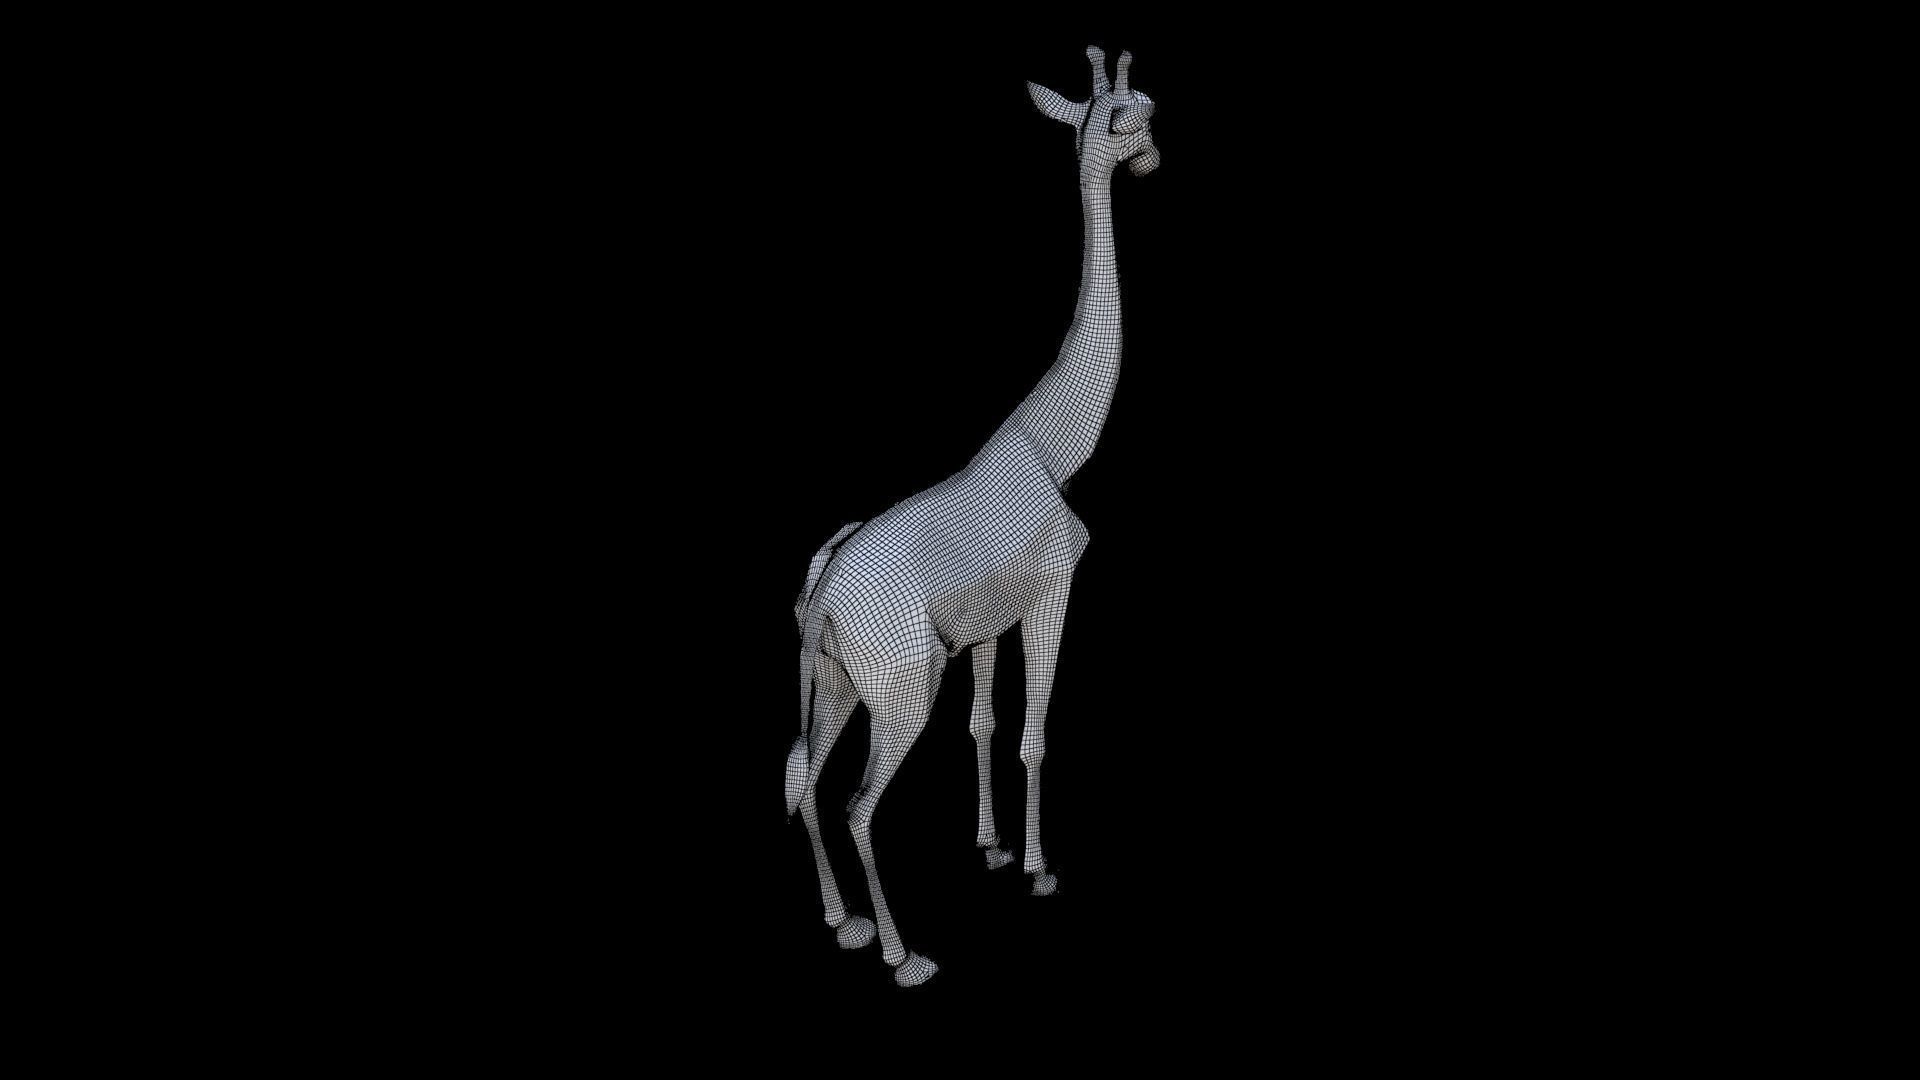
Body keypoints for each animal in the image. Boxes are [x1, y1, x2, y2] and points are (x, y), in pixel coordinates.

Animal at [784, 46, 1159, 987]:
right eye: (1122, 117)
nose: (1152, 154)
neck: (1055, 441)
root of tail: (823, 599)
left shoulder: (988, 621)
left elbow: (985, 722)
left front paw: (990, 847)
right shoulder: (1054, 590)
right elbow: (1033, 734)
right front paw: (1039, 869)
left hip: (836, 680)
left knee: (801, 771)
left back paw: (842, 923)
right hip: (900, 688)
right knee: (856, 801)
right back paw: (903, 954)